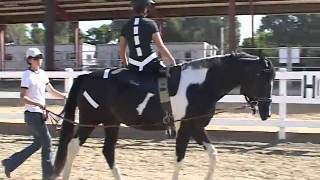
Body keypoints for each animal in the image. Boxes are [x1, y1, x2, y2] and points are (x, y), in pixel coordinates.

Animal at [52, 52, 276, 179]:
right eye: (262, 77)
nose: (266, 112)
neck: (200, 85)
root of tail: (86, 76)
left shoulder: (196, 127)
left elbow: (213, 155)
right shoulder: (186, 127)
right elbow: (180, 158)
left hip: (111, 122)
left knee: (107, 152)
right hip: (90, 120)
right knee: (73, 146)